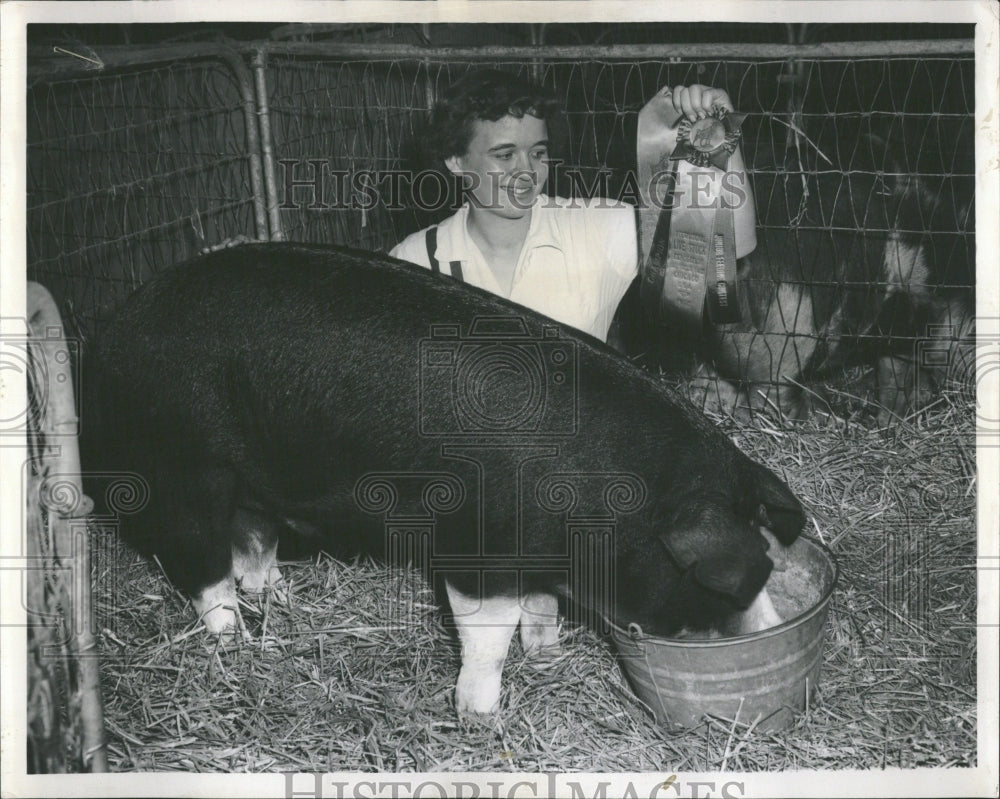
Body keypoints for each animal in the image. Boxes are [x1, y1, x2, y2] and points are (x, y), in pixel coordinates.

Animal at [95, 242, 804, 712]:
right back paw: (239, 644)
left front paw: (548, 656)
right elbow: (487, 633)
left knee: (252, 542)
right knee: (202, 564)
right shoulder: (477, 546)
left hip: (253, 477)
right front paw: (480, 715)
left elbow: (540, 609)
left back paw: (283, 599)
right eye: (718, 587)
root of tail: (117, 325)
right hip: (184, 464)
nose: (768, 634)